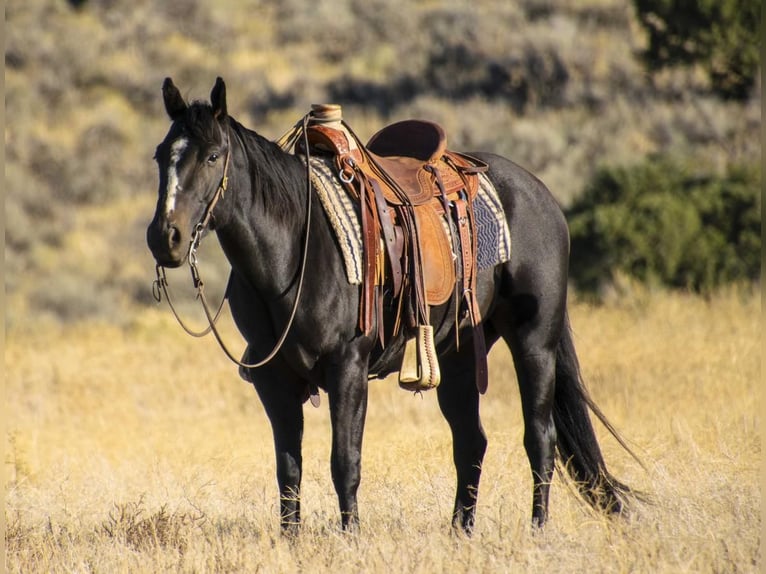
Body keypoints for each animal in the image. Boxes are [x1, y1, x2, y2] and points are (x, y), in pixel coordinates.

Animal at [146, 76, 636, 536]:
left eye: (212, 156)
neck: (296, 246)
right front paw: (290, 541)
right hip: (458, 356)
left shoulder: (347, 366)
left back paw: (537, 530)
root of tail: (543, 196)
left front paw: (350, 538)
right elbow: (288, 470)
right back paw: (460, 532)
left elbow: (345, 462)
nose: (165, 237)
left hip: (535, 342)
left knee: (539, 436)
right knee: (471, 442)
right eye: (160, 155)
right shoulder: (273, 379)